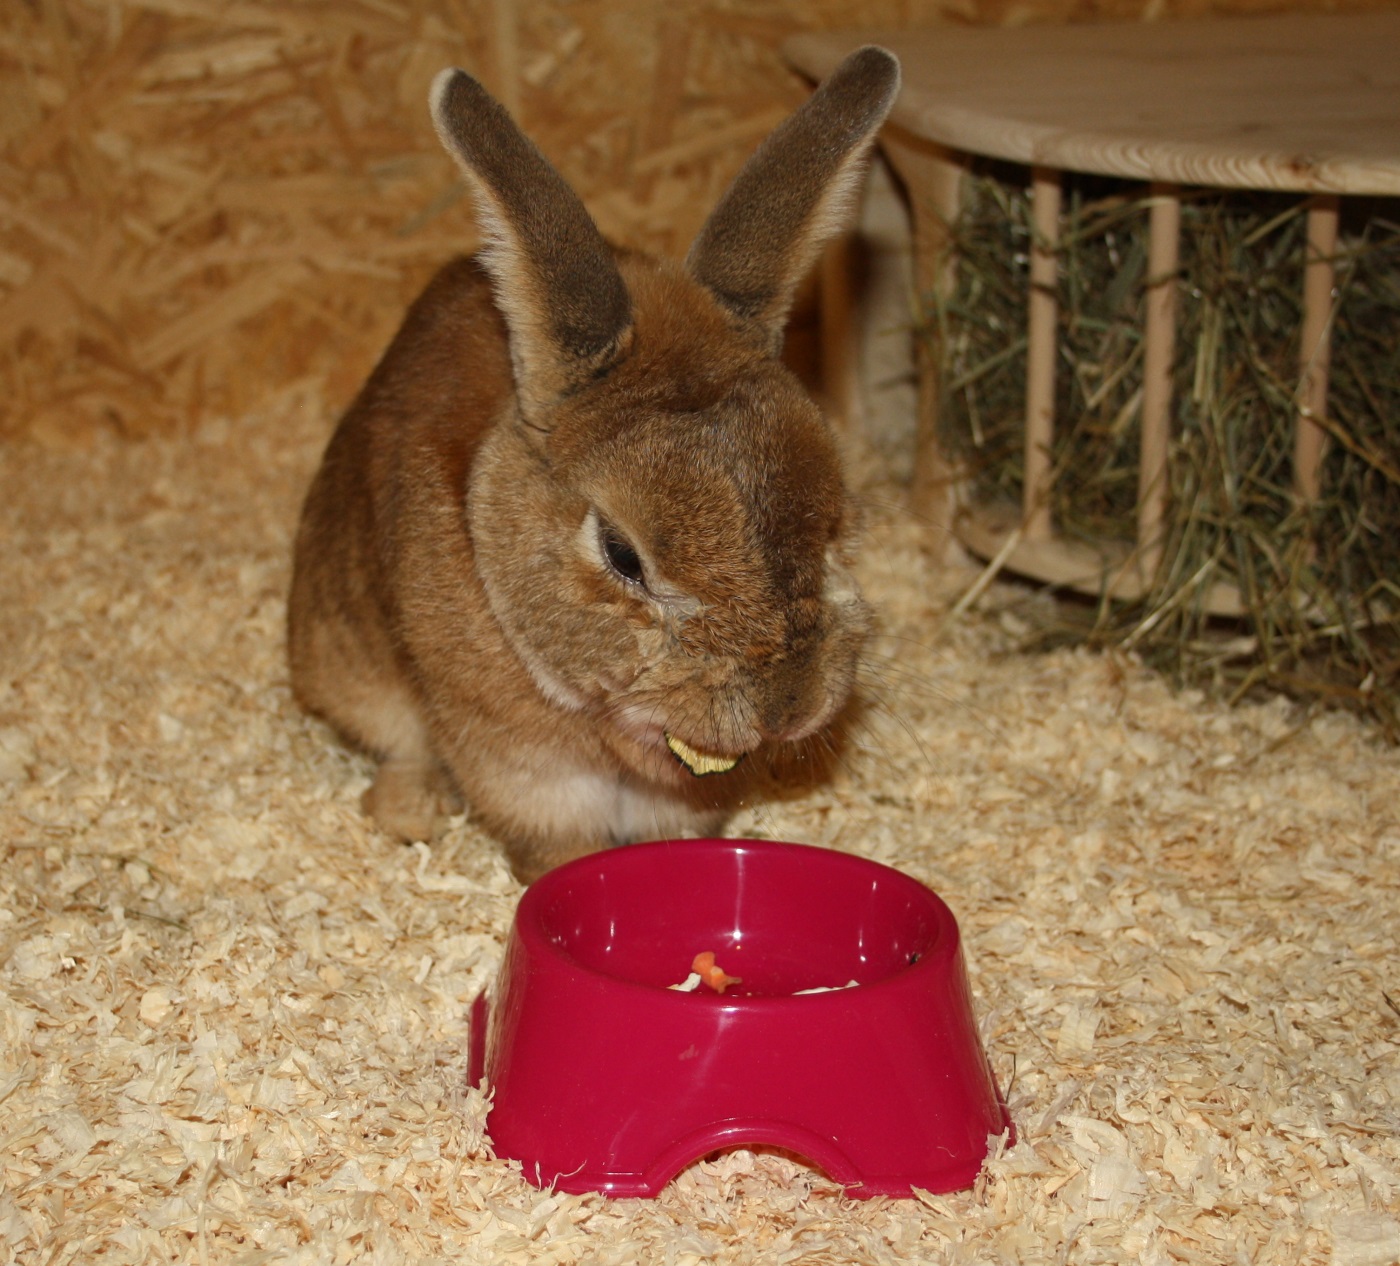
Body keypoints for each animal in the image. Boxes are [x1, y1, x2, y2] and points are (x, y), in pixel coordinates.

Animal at [287, 46, 901, 884]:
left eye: (835, 525)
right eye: (622, 556)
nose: (787, 706)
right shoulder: (519, 759)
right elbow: (552, 835)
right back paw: (412, 811)